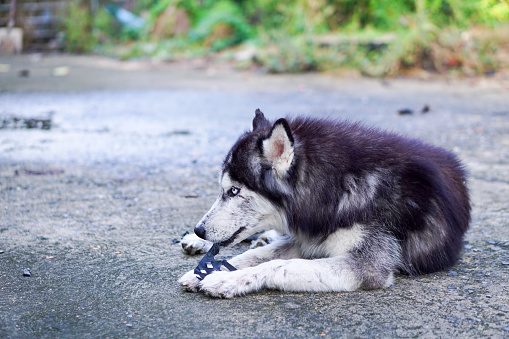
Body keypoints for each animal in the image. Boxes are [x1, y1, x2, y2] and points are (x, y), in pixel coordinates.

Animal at [178, 109, 468, 298]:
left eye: (234, 191)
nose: (199, 230)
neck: (337, 187)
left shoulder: (366, 266)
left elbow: (279, 265)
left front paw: (225, 278)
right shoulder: (306, 237)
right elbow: (251, 257)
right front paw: (202, 270)